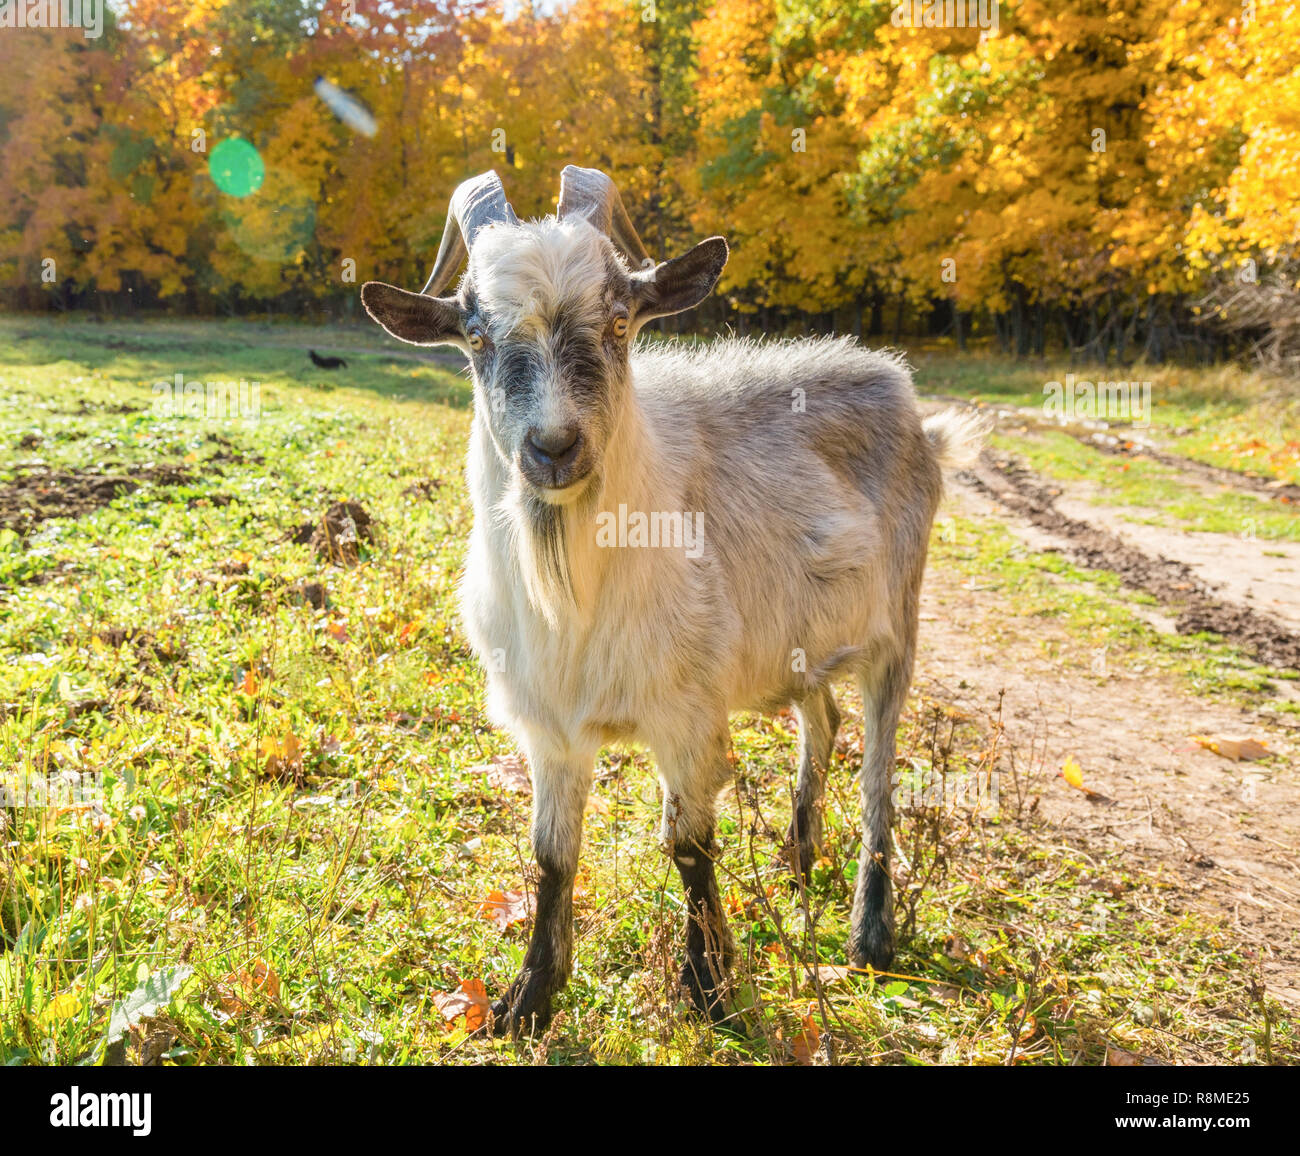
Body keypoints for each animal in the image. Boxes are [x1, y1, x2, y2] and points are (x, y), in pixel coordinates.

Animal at [361, 167, 984, 1036]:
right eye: (476, 334)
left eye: (620, 322)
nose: (553, 447)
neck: (575, 600)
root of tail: (909, 400)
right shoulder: (550, 730)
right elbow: (552, 856)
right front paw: (527, 1002)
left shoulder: (685, 718)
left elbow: (688, 846)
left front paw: (710, 991)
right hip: (796, 646)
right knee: (822, 721)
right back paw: (796, 864)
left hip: (898, 627)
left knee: (880, 777)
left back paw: (870, 936)